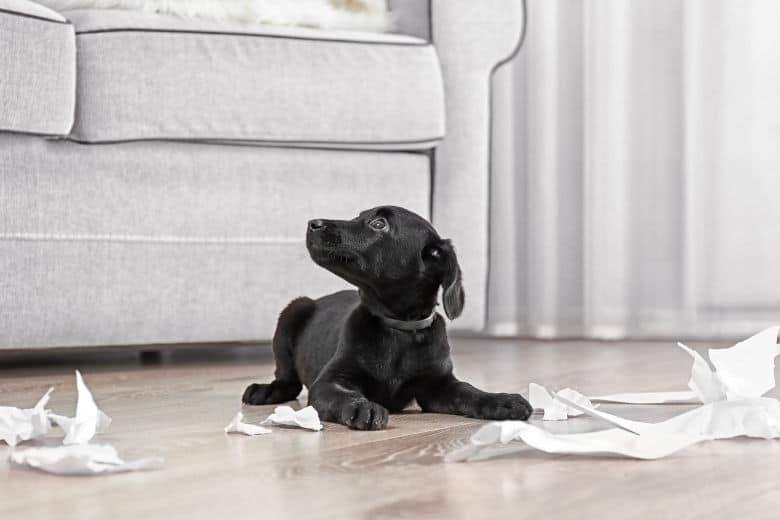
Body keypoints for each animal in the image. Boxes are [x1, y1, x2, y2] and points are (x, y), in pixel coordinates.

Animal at [241, 205, 532, 428]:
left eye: (379, 224)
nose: (313, 223)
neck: (398, 328)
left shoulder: (438, 385)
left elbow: (468, 391)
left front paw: (500, 400)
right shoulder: (328, 382)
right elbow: (343, 396)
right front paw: (363, 407)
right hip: (292, 312)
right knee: (287, 379)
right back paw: (266, 390)